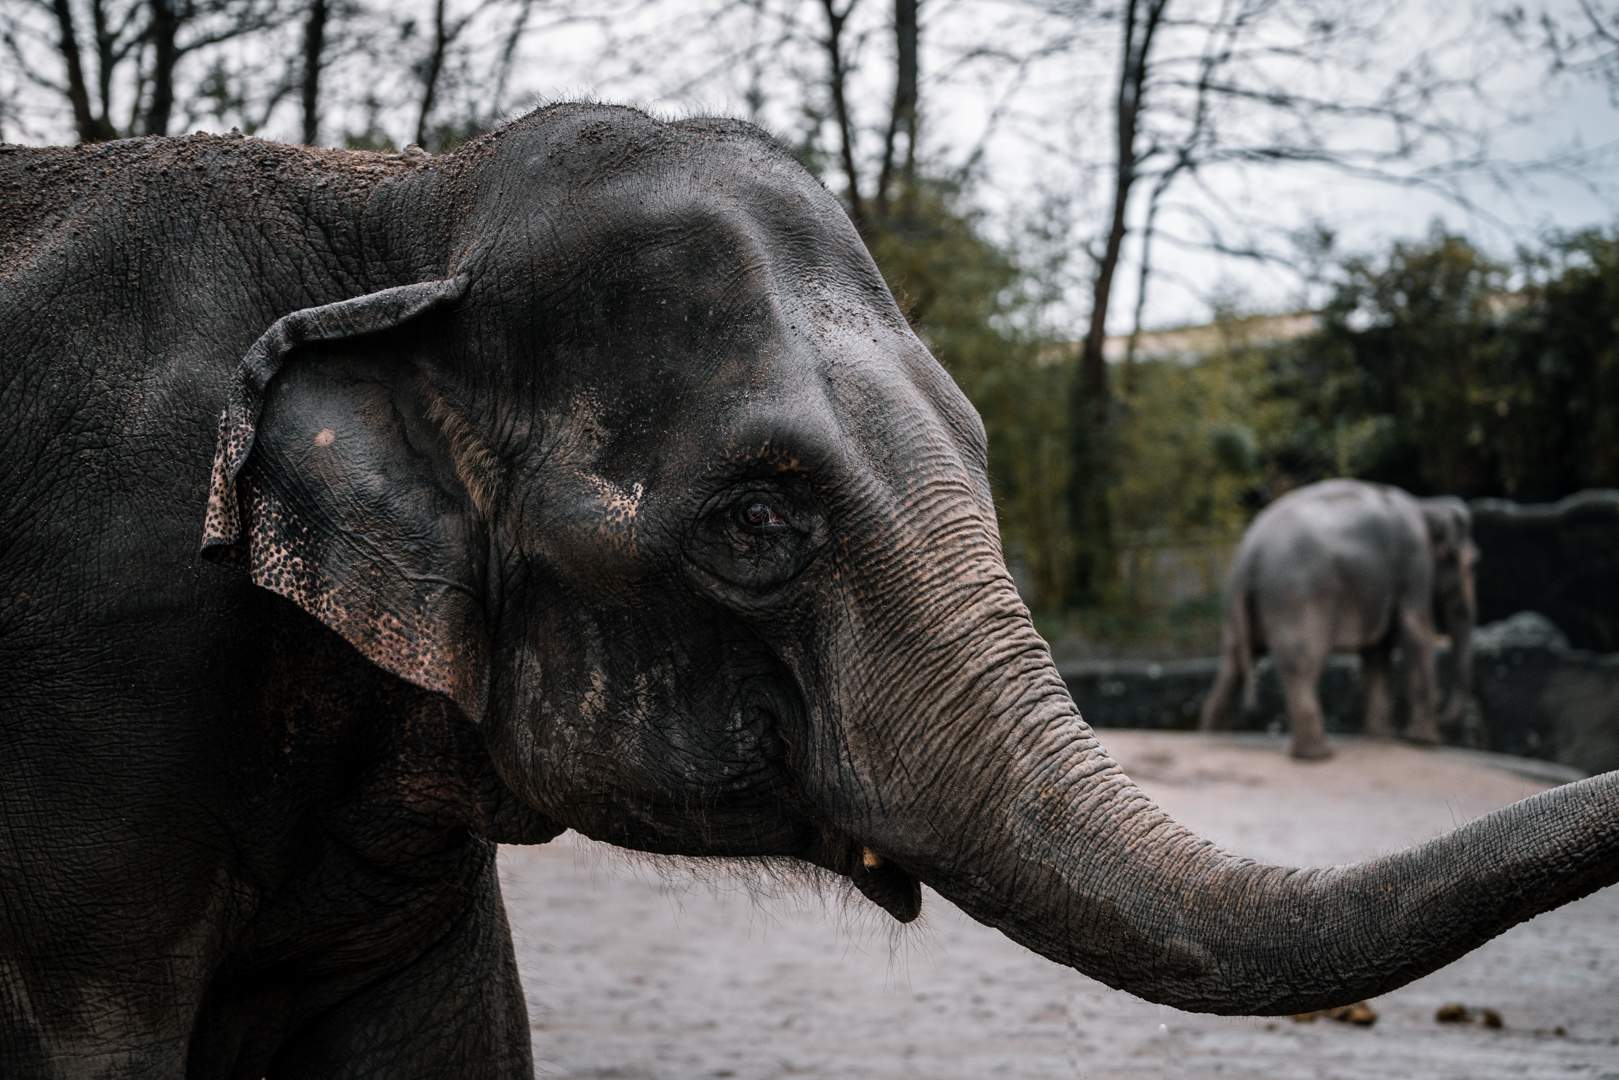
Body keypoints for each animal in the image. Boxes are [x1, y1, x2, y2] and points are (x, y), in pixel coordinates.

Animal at [1199, 479, 1478, 759]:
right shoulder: (1414, 561)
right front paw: (1426, 742)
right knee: (1301, 662)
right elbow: (1415, 633)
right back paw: (1317, 754)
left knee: (1233, 663)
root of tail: (1248, 557)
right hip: (1296, 597)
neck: (1426, 507)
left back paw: (1216, 735)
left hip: (1242, 607)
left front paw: (1380, 738)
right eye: (1469, 564)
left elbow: (1376, 653)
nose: (1444, 716)